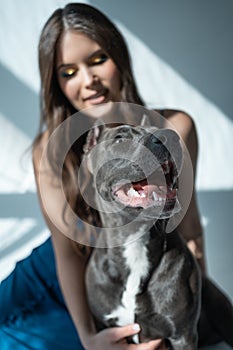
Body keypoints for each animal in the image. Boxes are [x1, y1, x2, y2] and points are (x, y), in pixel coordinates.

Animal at [83, 118, 233, 350]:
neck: (135, 241)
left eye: (158, 129)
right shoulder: (106, 332)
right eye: (120, 138)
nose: (169, 136)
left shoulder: (183, 335)